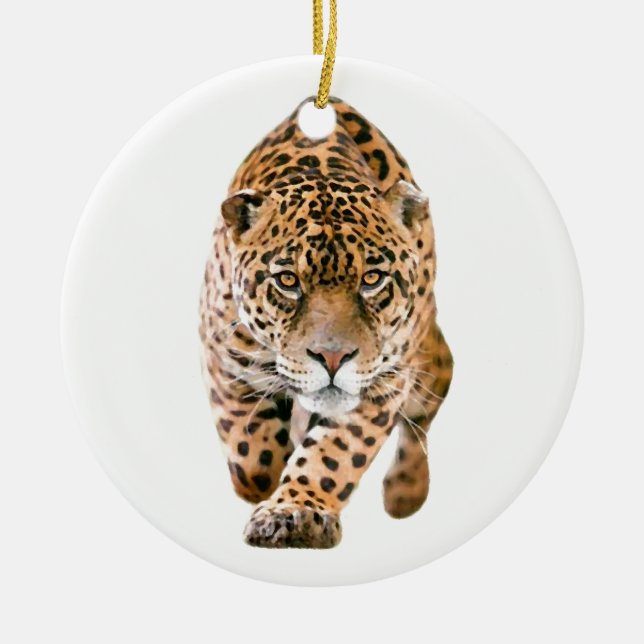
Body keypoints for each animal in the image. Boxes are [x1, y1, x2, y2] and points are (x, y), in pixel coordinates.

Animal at [199, 96, 453, 548]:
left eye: (372, 279)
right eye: (287, 281)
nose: (332, 358)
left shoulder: (383, 382)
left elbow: (334, 454)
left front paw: (296, 512)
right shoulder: (225, 360)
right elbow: (253, 460)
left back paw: (405, 491)